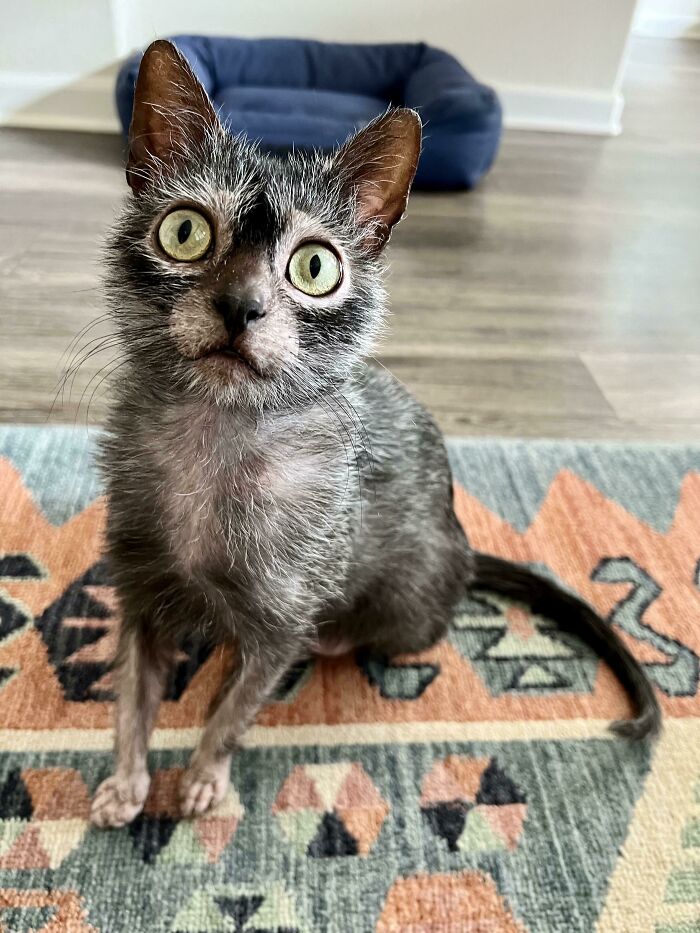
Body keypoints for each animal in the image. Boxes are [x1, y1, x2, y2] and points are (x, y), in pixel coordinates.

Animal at [90, 41, 660, 832]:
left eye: (314, 266)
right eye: (185, 232)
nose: (241, 305)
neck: (216, 438)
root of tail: (460, 542)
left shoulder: (280, 624)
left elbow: (233, 710)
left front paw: (204, 776)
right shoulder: (139, 595)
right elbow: (131, 701)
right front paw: (126, 780)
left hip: (406, 605)